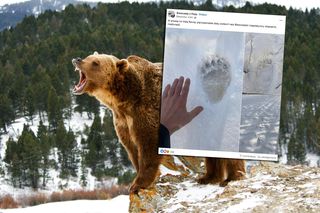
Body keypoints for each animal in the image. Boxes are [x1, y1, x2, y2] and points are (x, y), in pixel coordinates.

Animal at [70, 52, 245, 192]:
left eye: (95, 62)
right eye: (88, 57)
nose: (77, 60)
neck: (123, 99)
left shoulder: (146, 111)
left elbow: (148, 144)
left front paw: (138, 184)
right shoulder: (123, 121)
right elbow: (132, 148)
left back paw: (232, 177)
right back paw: (209, 177)